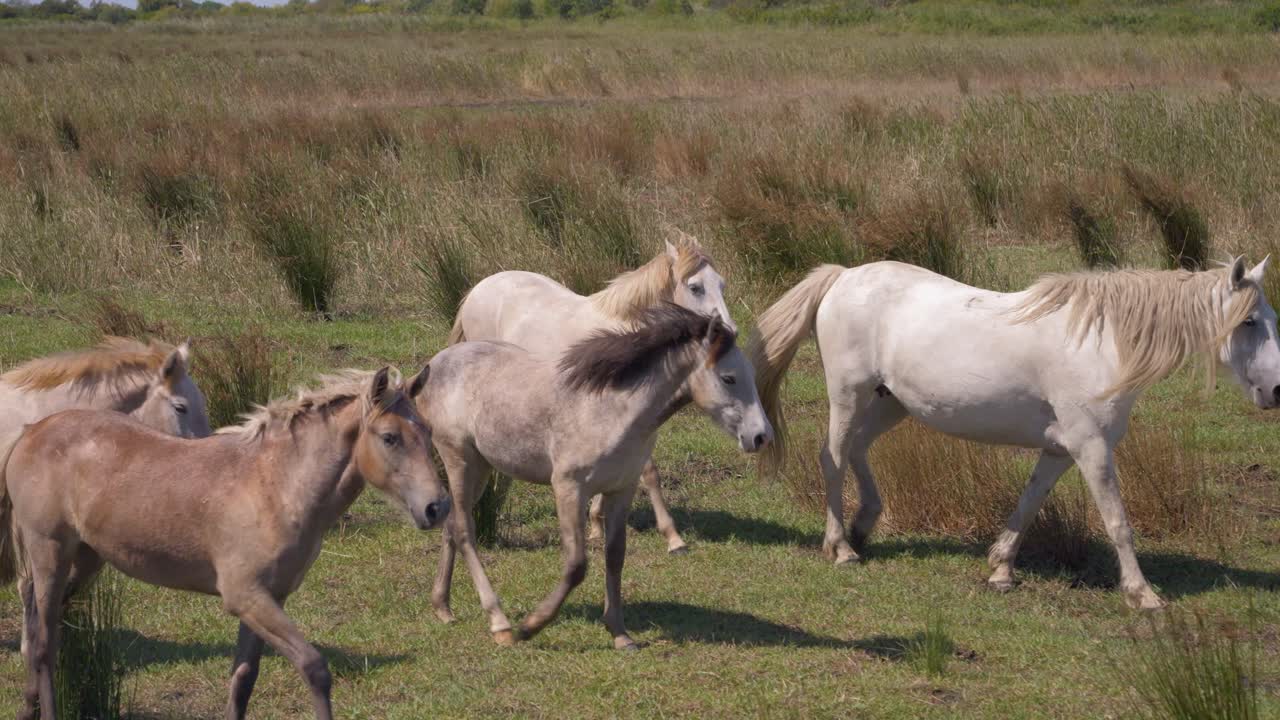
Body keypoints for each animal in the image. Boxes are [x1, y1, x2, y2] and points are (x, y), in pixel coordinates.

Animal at [0, 367, 450, 720]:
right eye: (390, 437)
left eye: (428, 431)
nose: (438, 507)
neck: (276, 485)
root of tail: (31, 432)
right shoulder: (245, 596)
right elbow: (314, 667)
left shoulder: (268, 598)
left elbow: (243, 681)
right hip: (49, 554)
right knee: (43, 646)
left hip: (86, 560)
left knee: (41, 636)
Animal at [420, 304, 772, 650]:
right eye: (728, 378)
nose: (761, 436)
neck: (611, 409)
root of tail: (435, 364)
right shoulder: (568, 488)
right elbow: (577, 565)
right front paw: (532, 626)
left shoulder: (621, 490)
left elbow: (615, 557)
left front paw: (620, 633)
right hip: (460, 460)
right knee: (464, 530)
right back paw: (501, 624)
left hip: (480, 467)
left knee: (451, 525)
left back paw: (443, 607)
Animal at [448, 233, 731, 554]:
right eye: (695, 287)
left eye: (721, 284)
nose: (727, 332)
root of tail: (479, 289)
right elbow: (649, 473)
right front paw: (673, 538)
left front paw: (596, 525)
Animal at [749, 257, 1279, 610]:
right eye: (1249, 321)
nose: (1276, 390)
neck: (1101, 345)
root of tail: (844, 276)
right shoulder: (1092, 449)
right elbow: (1117, 522)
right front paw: (1142, 593)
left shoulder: (1061, 451)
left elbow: (1028, 504)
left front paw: (1001, 568)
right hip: (849, 396)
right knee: (833, 458)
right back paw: (840, 548)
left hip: (889, 402)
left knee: (856, 450)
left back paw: (863, 527)